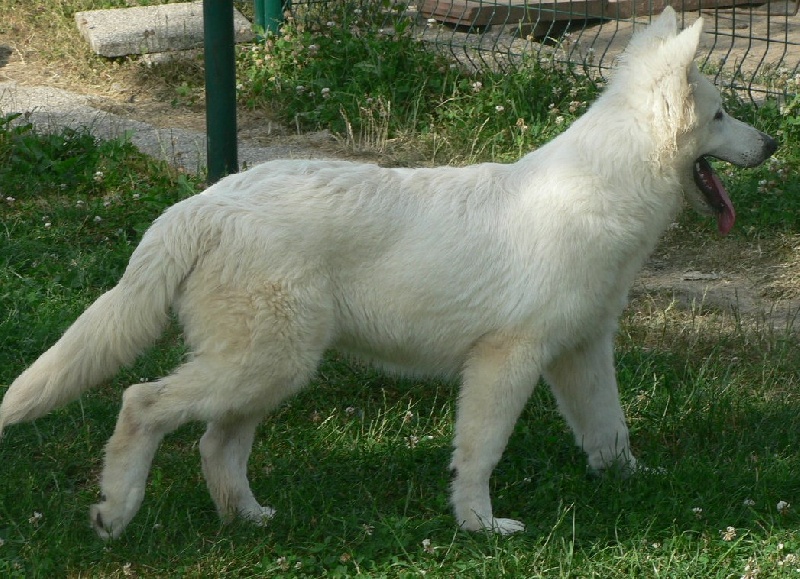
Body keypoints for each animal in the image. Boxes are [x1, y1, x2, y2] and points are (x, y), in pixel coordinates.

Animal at [0, 6, 776, 540]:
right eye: (722, 114)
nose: (772, 143)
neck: (603, 190)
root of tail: (205, 203)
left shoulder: (581, 354)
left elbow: (610, 433)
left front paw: (640, 485)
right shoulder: (507, 362)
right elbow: (480, 454)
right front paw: (480, 527)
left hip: (271, 369)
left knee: (215, 444)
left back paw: (248, 518)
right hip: (264, 363)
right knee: (143, 401)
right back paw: (116, 510)